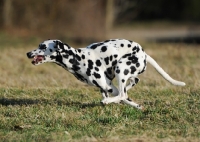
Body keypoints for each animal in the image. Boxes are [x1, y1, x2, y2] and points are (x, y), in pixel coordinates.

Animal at [27, 39, 186, 110]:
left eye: (42, 46)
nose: (28, 53)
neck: (77, 59)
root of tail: (144, 53)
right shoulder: (105, 88)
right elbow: (126, 98)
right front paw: (136, 105)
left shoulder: (108, 86)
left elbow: (121, 97)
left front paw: (111, 101)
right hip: (126, 72)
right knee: (132, 83)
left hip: (121, 68)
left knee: (122, 93)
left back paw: (109, 101)